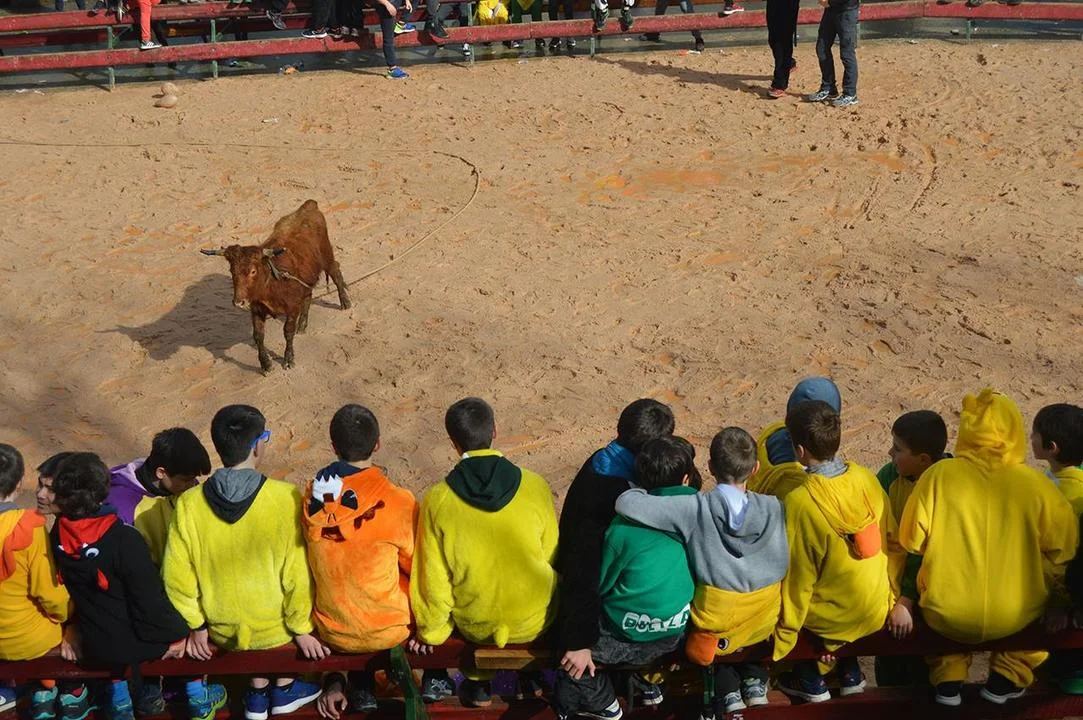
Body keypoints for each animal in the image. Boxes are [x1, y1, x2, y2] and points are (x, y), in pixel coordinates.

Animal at [200, 199, 351, 373]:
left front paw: (288, 359)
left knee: (336, 272)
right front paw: (265, 364)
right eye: (232, 270)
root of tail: (309, 206)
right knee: (308, 295)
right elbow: (258, 335)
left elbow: (287, 331)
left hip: (327, 256)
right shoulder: (256, 309)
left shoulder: (292, 308)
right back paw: (302, 325)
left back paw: (345, 302)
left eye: (253, 271)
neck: (271, 285)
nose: (238, 302)